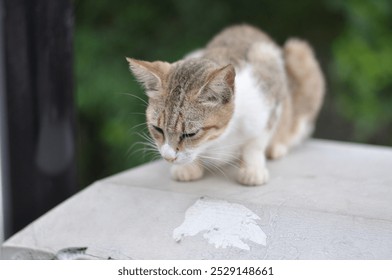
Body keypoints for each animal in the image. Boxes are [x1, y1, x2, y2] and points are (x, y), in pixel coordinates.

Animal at [126, 24, 324, 186]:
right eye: (157, 129)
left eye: (190, 134)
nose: (168, 157)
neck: (221, 137)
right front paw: (188, 167)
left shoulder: (269, 91)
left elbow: (255, 143)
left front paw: (252, 169)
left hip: (299, 55)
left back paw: (278, 146)